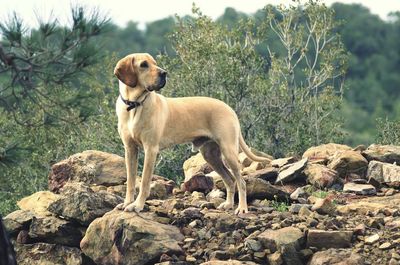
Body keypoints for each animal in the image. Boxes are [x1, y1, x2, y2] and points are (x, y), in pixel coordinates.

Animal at [114, 52, 270, 213]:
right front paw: (127, 203)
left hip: (229, 152)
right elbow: (131, 181)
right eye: (144, 65)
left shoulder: (150, 150)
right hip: (211, 155)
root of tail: (229, 108)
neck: (134, 105)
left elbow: (144, 182)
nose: (164, 73)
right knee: (230, 180)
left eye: (155, 63)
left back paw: (242, 208)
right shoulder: (130, 149)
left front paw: (137, 205)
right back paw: (228, 204)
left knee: (241, 182)